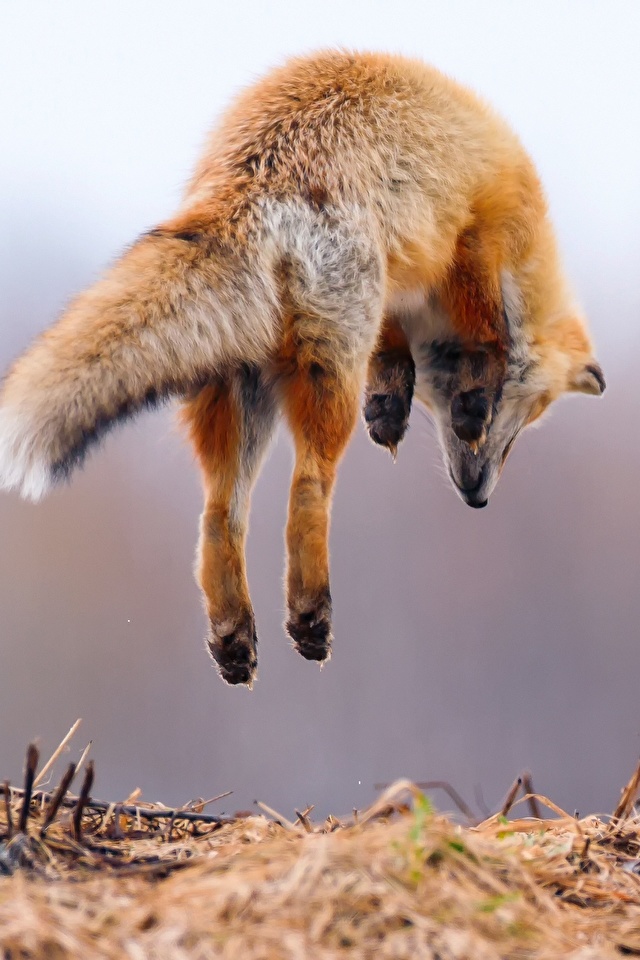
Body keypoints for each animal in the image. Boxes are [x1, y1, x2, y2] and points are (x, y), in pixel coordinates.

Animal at [0, 52, 604, 688]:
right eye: (519, 425)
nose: (478, 499)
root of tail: (248, 181)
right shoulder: (473, 233)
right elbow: (486, 329)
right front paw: (466, 396)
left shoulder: (395, 285)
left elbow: (397, 351)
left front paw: (391, 405)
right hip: (329, 375)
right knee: (308, 490)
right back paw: (310, 616)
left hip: (243, 397)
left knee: (219, 516)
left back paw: (235, 637)